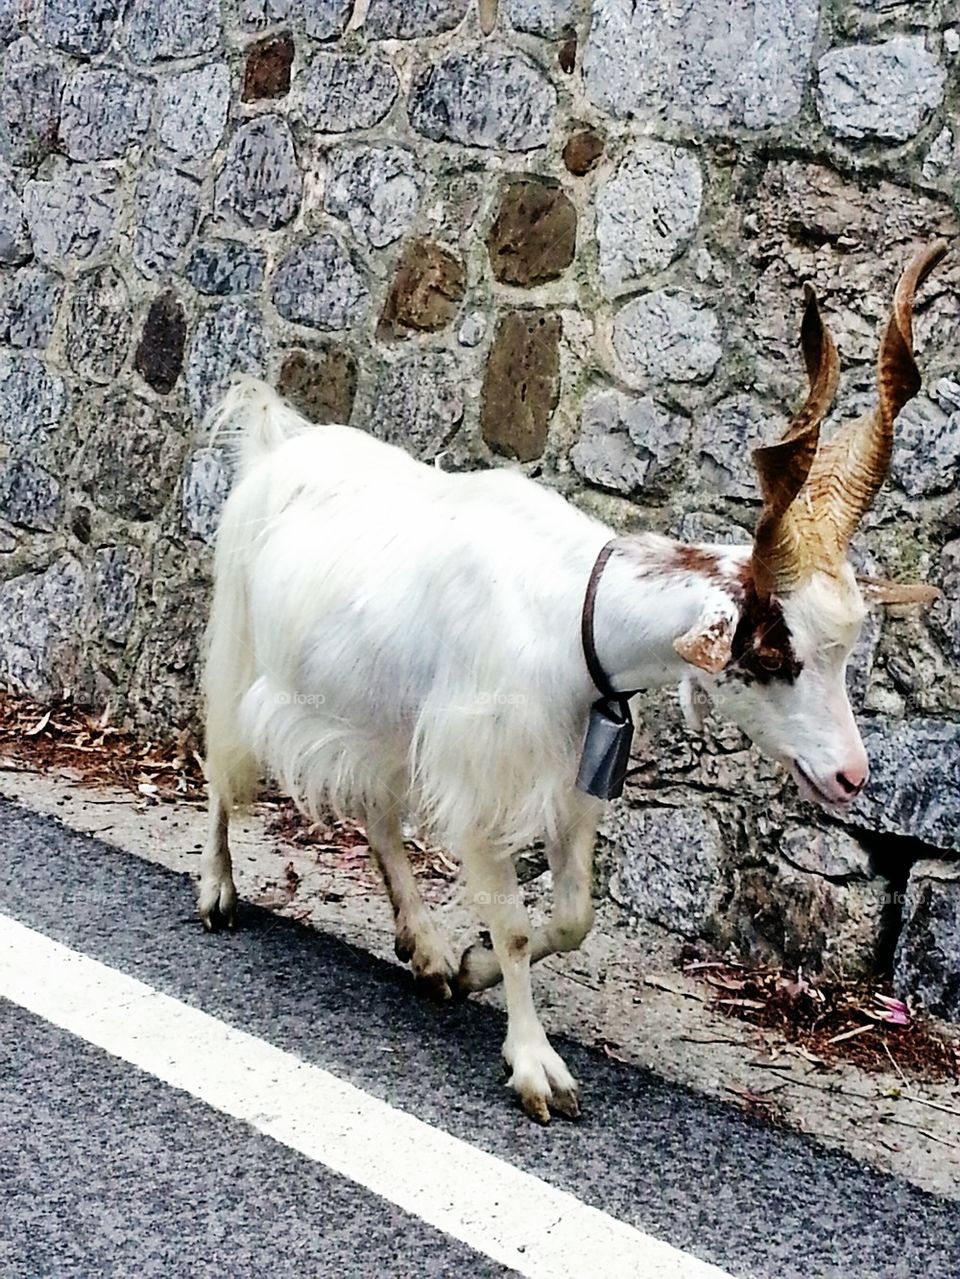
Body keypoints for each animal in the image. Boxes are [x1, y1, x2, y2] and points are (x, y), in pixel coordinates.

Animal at [200, 243, 945, 1122]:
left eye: (842, 651)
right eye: (773, 654)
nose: (851, 775)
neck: (572, 612)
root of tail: (276, 442)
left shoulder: (572, 777)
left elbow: (574, 916)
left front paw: (470, 966)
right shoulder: (482, 779)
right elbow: (521, 925)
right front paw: (536, 1066)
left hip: (374, 709)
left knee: (377, 809)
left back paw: (425, 946)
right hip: (243, 641)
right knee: (220, 759)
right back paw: (217, 891)